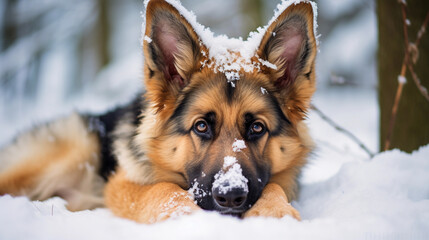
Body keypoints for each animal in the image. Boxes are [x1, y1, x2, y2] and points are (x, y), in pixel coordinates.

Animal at [0, 0, 316, 224]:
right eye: (201, 126)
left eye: (257, 128)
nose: (230, 196)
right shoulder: (124, 183)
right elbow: (161, 189)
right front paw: (186, 218)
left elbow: (274, 187)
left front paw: (274, 215)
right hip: (71, 148)